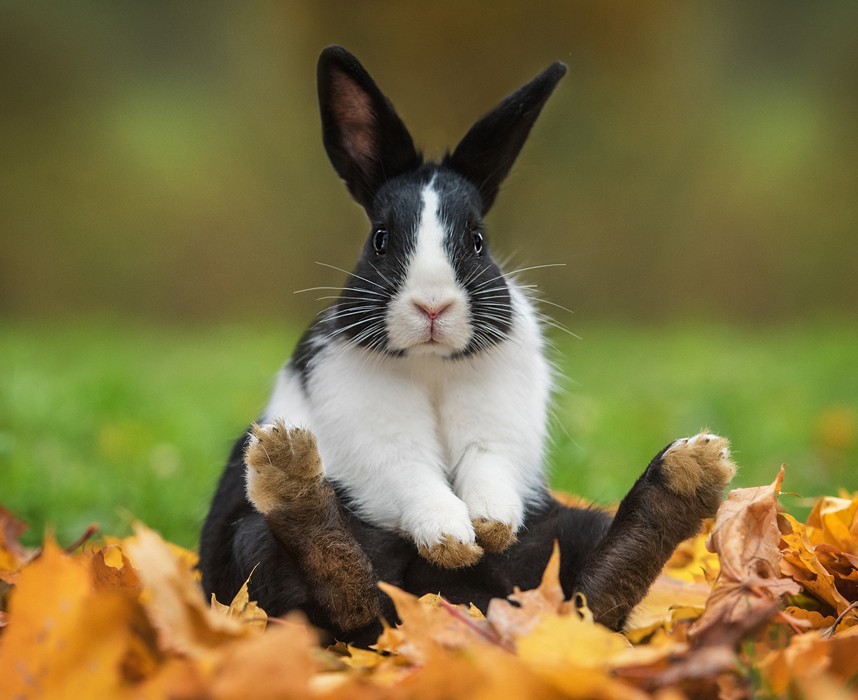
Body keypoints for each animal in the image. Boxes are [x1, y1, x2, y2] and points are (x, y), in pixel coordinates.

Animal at [201, 46, 736, 644]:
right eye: (381, 239)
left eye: (478, 240)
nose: (433, 307)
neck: (432, 365)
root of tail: (461, 604)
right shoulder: (375, 435)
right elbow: (412, 474)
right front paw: (453, 541)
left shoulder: (497, 430)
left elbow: (487, 465)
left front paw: (489, 527)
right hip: (254, 543)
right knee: (343, 596)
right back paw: (290, 471)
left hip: (566, 531)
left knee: (592, 598)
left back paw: (686, 476)